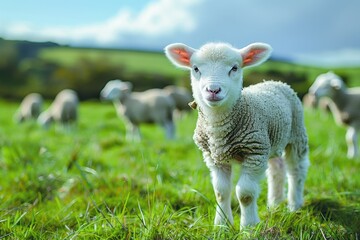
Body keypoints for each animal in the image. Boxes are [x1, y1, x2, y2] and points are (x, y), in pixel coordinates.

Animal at [165, 42, 310, 229]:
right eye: (196, 68)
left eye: (234, 68)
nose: (213, 90)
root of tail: (275, 82)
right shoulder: (214, 157)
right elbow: (221, 192)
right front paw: (222, 225)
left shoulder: (254, 152)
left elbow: (245, 193)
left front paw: (249, 226)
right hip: (272, 141)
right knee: (277, 169)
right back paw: (275, 204)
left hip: (296, 134)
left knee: (297, 170)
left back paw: (294, 205)